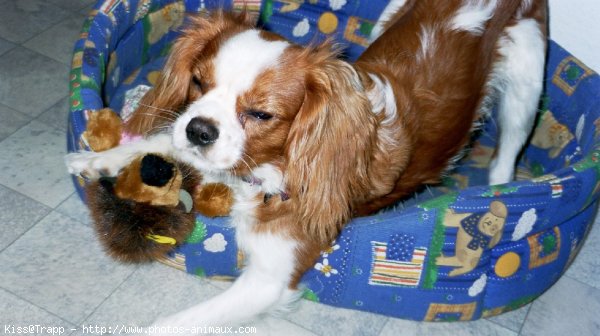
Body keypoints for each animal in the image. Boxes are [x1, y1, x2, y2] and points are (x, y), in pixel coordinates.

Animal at [67, 0, 548, 330]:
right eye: (198, 82)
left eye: (261, 114)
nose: (200, 130)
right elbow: (157, 141)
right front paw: (96, 157)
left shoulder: (269, 280)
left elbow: (172, 323)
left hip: (526, 86)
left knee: (508, 152)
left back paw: (502, 192)